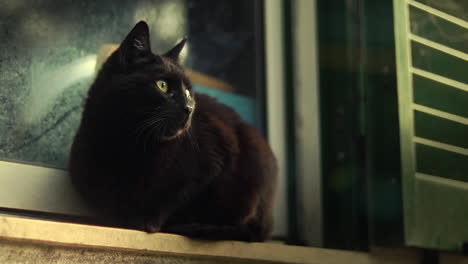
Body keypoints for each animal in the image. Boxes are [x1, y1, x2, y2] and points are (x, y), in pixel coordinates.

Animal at [68, 21, 278, 242]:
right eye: (162, 85)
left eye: (187, 92)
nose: (189, 108)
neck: (128, 143)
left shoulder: (211, 159)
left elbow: (171, 195)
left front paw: (147, 222)